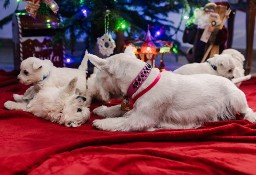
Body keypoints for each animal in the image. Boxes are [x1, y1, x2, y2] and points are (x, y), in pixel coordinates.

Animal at [87, 46, 255, 131]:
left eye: (99, 75)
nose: (97, 93)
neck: (142, 83)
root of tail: (230, 81)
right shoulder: (134, 107)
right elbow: (117, 108)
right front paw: (102, 110)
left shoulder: (142, 118)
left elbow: (122, 121)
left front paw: (101, 123)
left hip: (236, 100)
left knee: (246, 110)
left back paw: (250, 117)